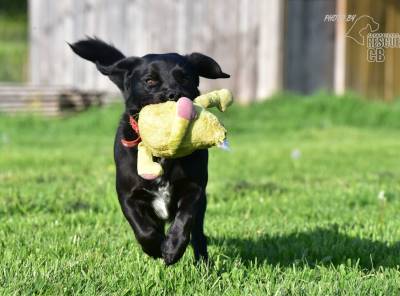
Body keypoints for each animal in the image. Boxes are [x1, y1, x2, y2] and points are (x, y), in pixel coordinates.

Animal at [70, 38, 230, 264]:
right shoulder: (128, 195)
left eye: (185, 77)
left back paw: (202, 263)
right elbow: (143, 229)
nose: (173, 94)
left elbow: (184, 220)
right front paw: (155, 248)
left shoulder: (194, 189)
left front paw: (172, 249)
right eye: (150, 80)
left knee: (198, 235)